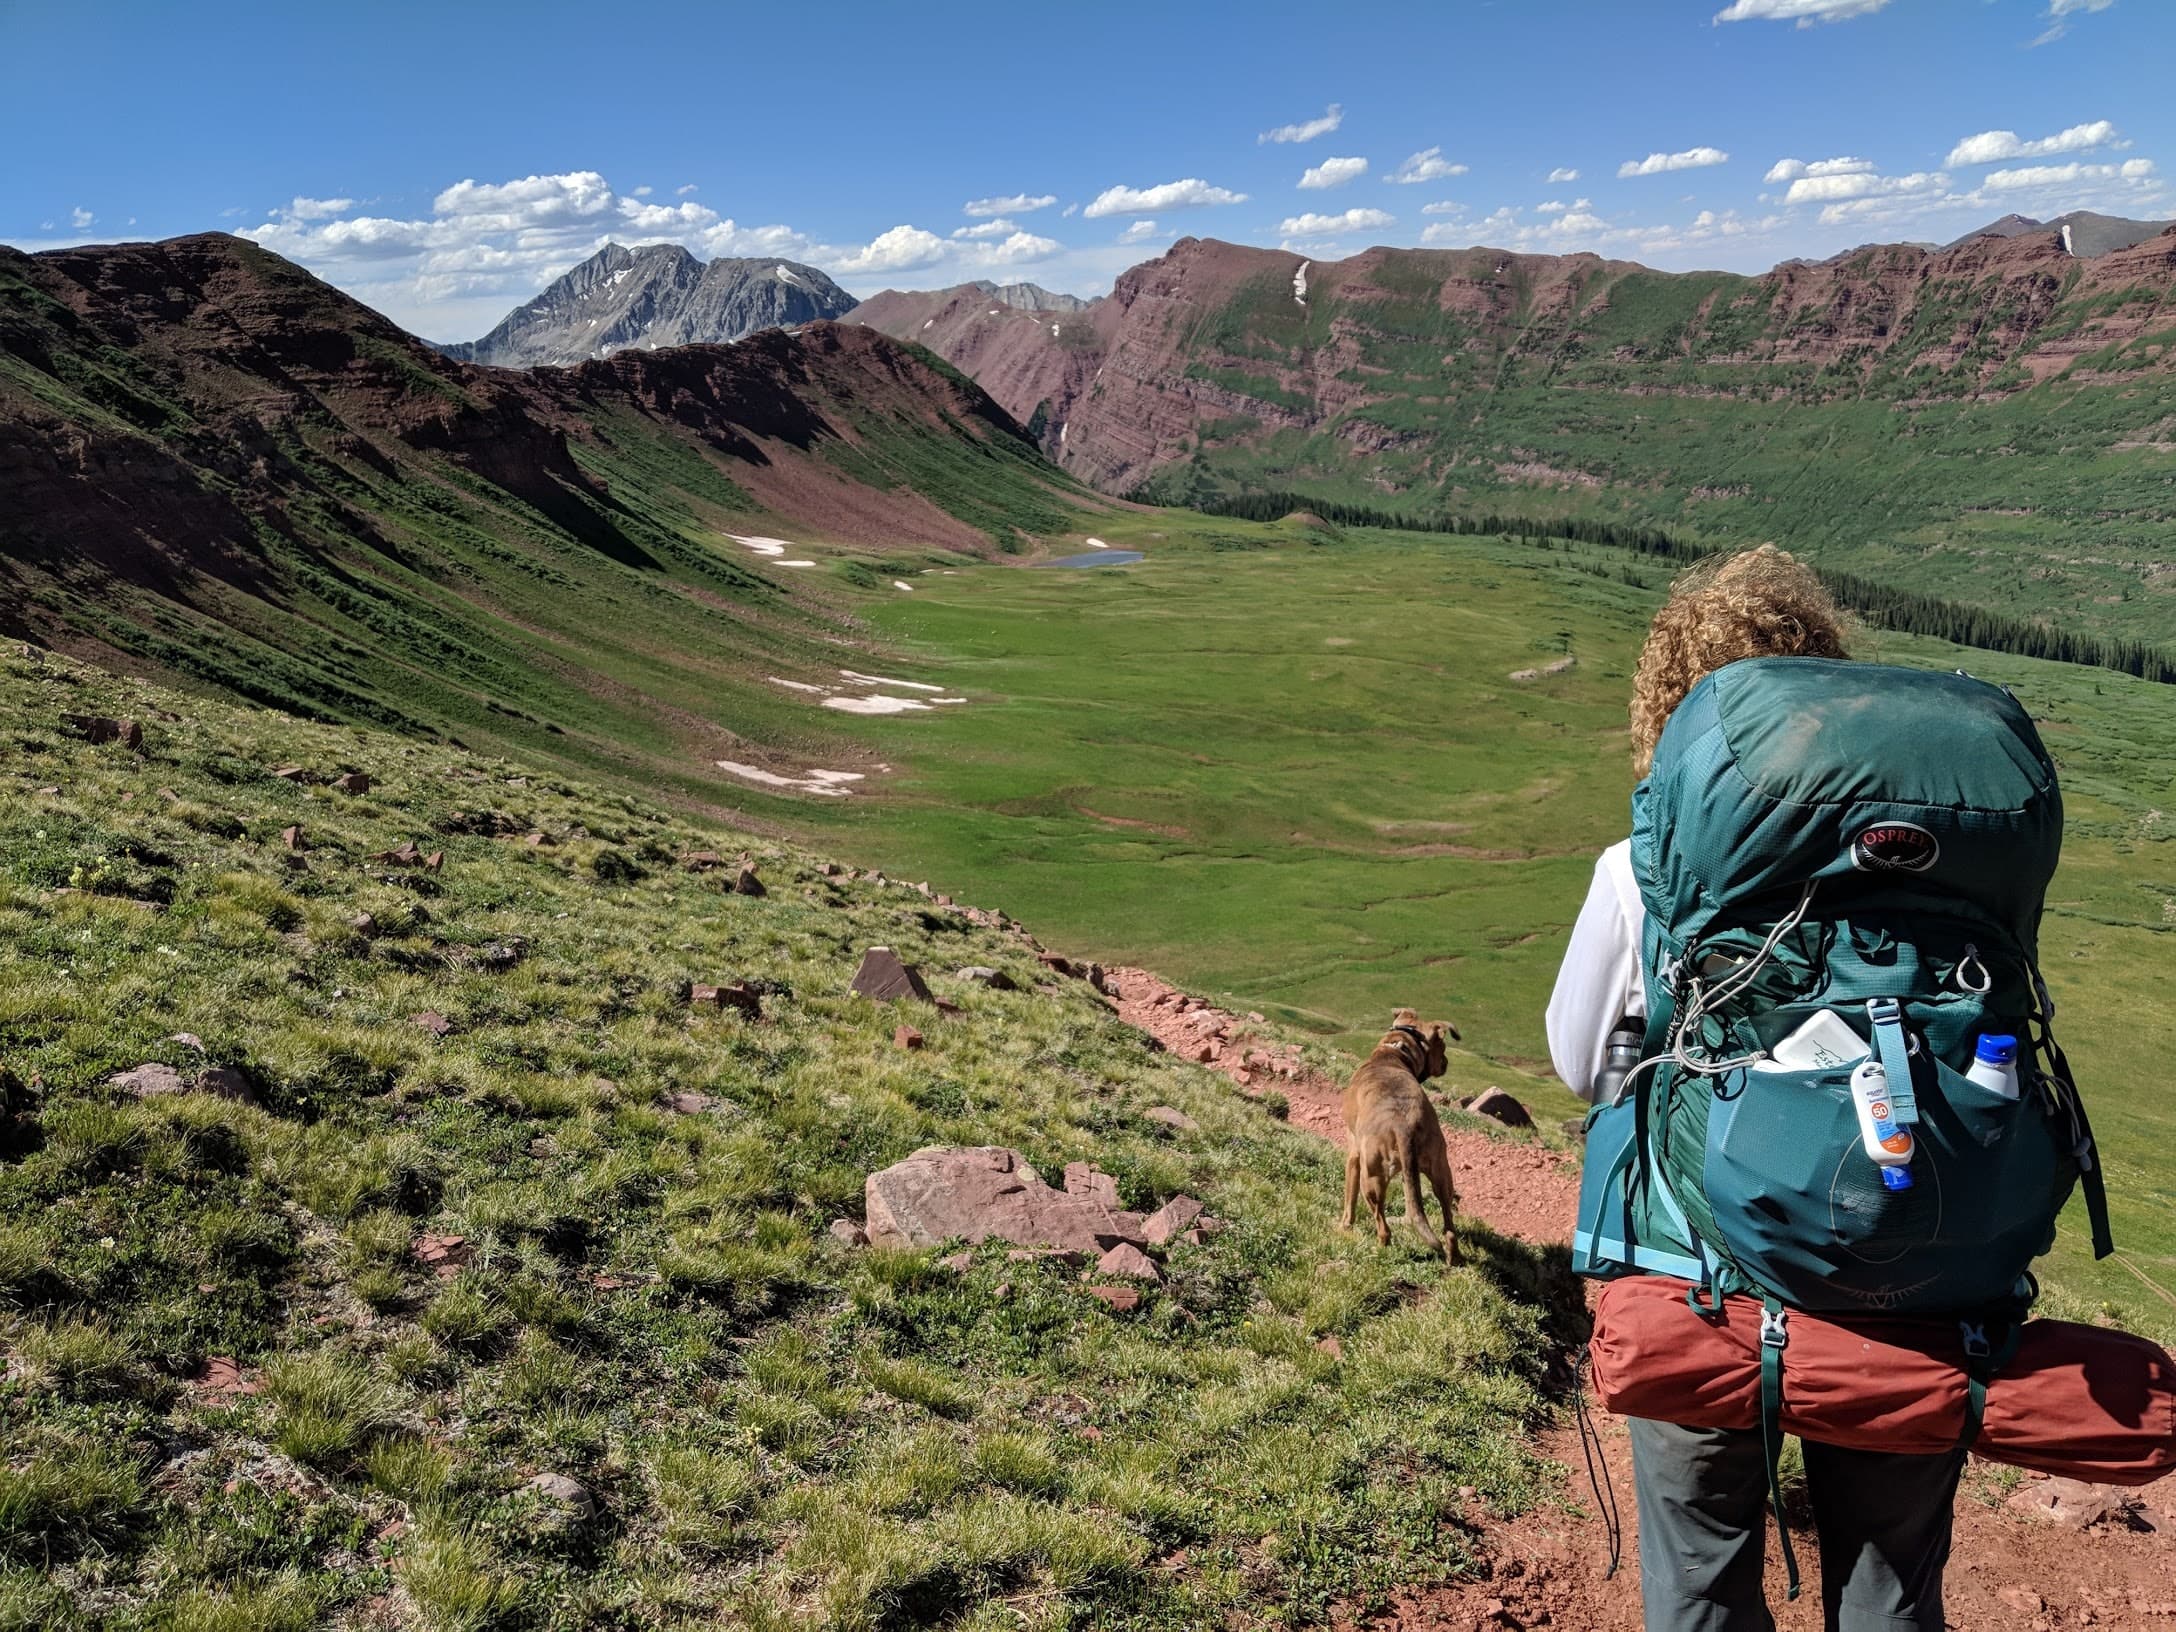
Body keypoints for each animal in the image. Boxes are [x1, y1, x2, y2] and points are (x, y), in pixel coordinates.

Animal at [1340, 1009, 1462, 1262]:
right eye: (1443, 1047)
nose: (1446, 1063)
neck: (1395, 1052)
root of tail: (1404, 1125)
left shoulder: (1353, 1155)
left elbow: (1349, 1200)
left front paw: (1344, 1227)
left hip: (1371, 1178)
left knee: (1383, 1226)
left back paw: (1379, 1250)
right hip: (1441, 1172)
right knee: (1449, 1225)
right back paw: (1454, 1257)